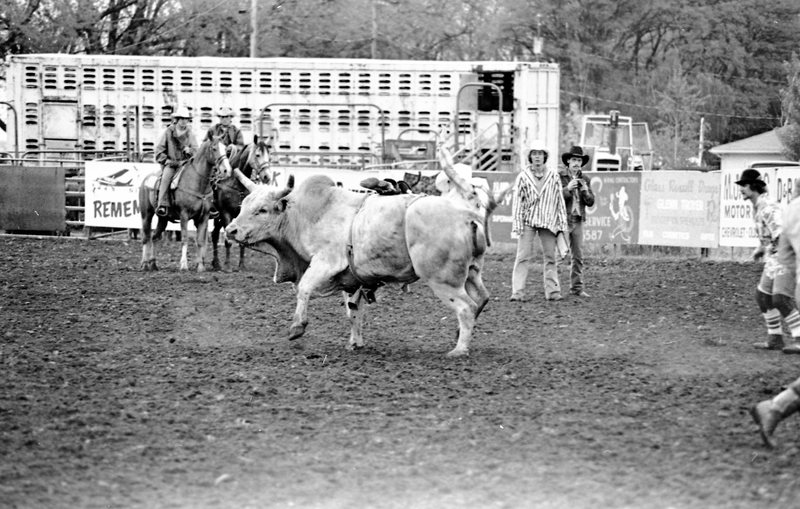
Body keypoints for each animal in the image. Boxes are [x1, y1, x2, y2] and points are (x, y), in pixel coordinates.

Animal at [226, 166, 503, 357]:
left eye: (262, 209)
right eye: (244, 205)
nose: (230, 231)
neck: (307, 215)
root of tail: (467, 216)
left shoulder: (326, 262)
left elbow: (304, 288)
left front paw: (297, 327)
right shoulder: (352, 281)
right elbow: (353, 311)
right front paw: (355, 343)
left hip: (443, 280)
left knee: (466, 308)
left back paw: (459, 350)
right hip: (472, 272)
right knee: (482, 298)